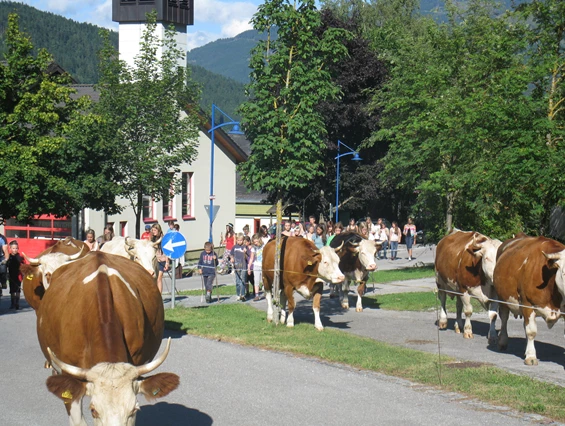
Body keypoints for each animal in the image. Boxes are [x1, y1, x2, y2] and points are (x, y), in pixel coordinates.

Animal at [494, 235, 564, 364]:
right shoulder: (528, 304)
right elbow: (531, 331)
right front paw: (531, 357)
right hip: (503, 299)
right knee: (504, 318)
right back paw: (502, 342)